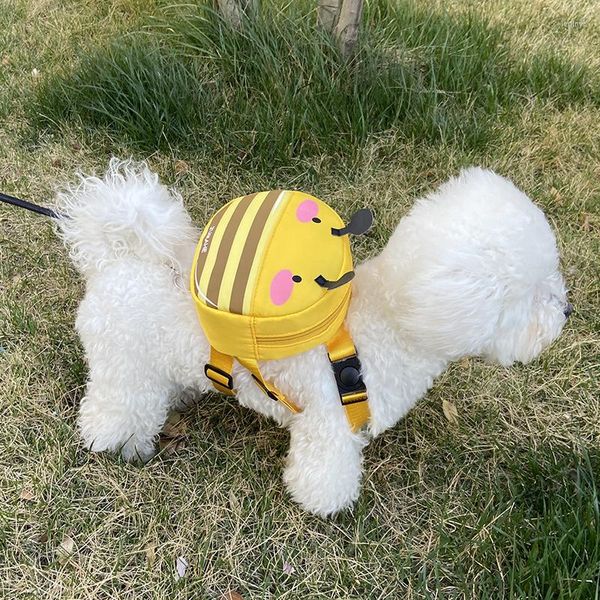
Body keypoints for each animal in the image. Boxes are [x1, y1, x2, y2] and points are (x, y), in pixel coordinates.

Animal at [56, 159, 572, 516]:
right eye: (528, 296)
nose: (567, 311)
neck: (391, 322)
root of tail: (116, 260)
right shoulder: (328, 422)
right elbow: (325, 471)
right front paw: (324, 506)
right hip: (123, 367)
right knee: (113, 408)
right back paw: (116, 442)